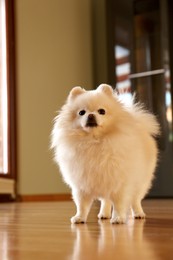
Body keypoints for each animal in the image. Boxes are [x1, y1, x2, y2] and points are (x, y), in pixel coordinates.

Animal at [50, 83, 159, 223]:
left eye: (102, 111)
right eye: (81, 112)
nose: (91, 115)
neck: (93, 141)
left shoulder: (120, 183)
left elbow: (119, 203)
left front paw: (118, 218)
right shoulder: (81, 184)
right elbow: (82, 205)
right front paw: (79, 217)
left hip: (140, 182)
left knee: (135, 200)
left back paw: (138, 213)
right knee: (106, 200)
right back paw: (104, 214)